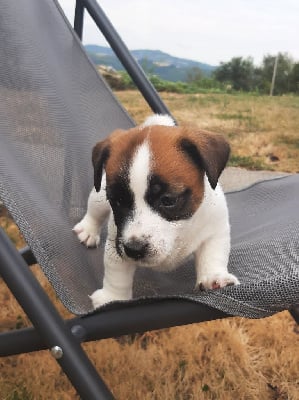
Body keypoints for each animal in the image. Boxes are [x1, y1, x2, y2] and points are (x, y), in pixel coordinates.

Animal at [72, 114, 239, 308]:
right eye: (117, 201)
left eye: (168, 200)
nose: (134, 249)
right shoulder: (117, 242)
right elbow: (117, 274)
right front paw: (112, 297)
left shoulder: (215, 230)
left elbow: (212, 255)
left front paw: (213, 276)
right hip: (98, 195)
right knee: (94, 212)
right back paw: (88, 229)